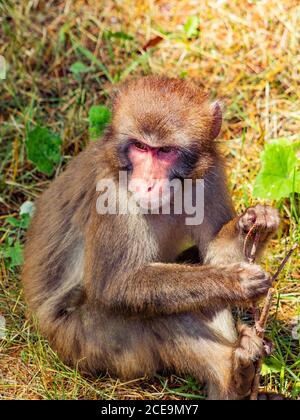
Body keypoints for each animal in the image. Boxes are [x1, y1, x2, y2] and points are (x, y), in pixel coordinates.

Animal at [22, 76, 280, 400]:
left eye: (165, 151)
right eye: (140, 146)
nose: (146, 184)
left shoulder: (209, 175)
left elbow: (215, 253)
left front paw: (257, 222)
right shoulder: (112, 193)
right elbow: (115, 286)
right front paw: (233, 282)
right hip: (87, 344)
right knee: (158, 311)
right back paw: (233, 378)